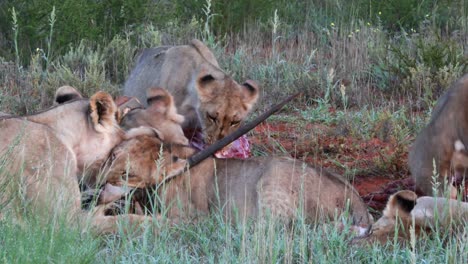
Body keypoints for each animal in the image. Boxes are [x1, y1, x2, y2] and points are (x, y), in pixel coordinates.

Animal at [100, 135, 372, 226]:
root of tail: (354, 197)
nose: (101, 188)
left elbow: (144, 219)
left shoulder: (192, 218)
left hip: (270, 183)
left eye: (128, 174)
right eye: (112, 156)